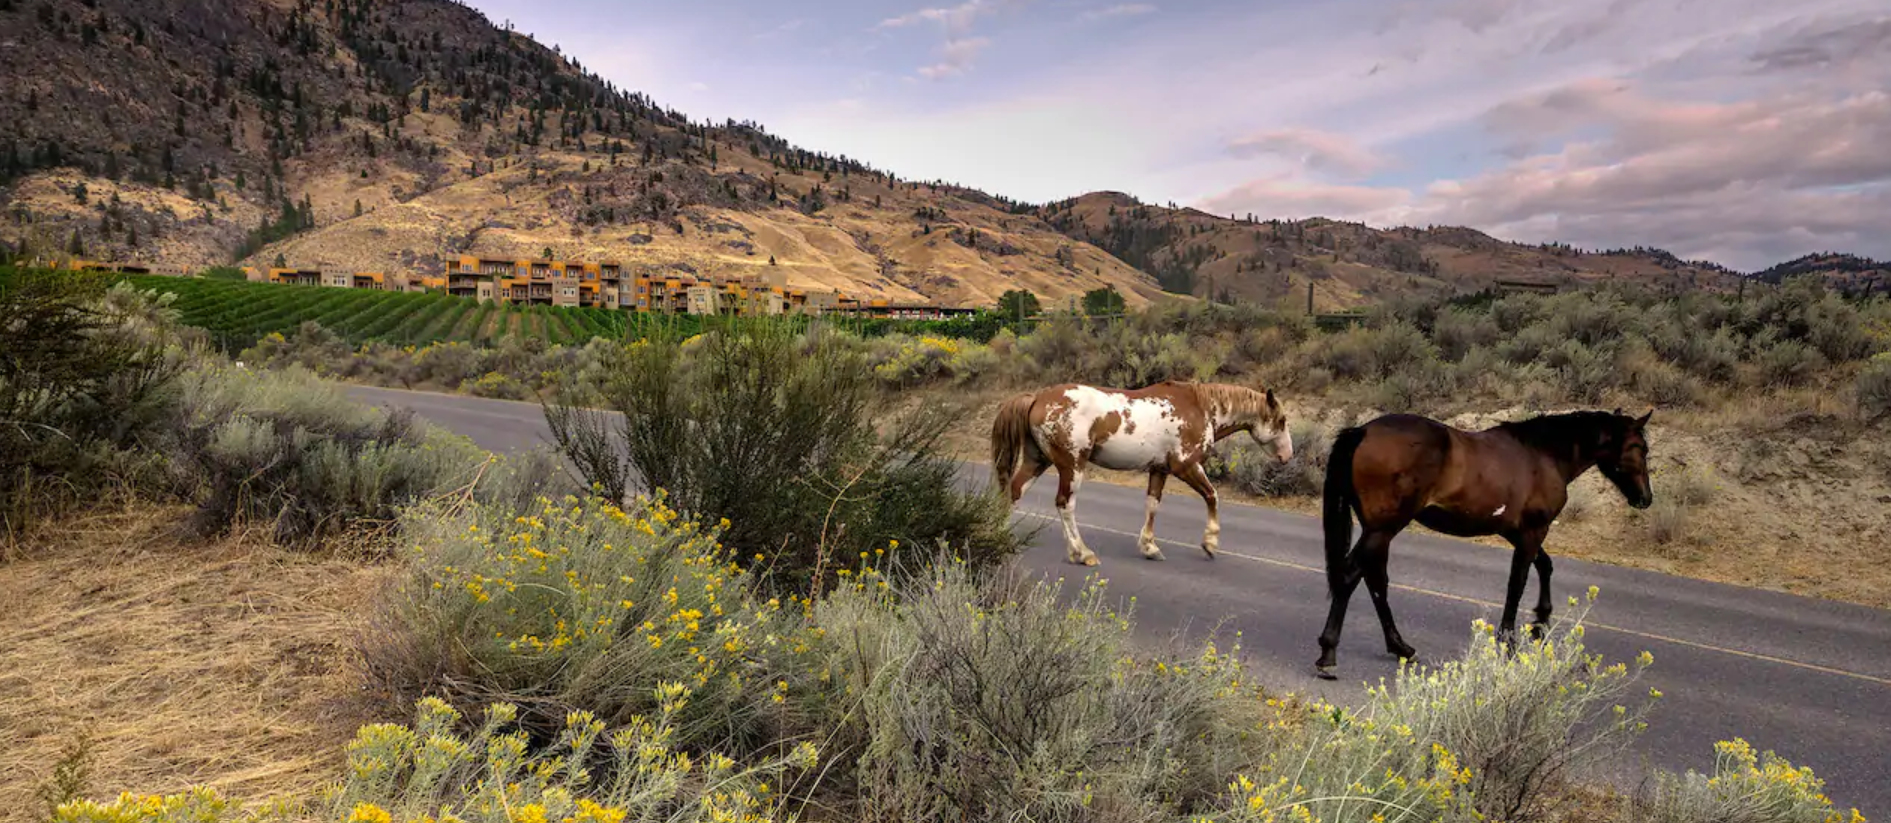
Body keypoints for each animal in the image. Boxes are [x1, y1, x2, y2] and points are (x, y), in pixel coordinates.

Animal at [983, 382, 1293, 567]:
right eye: (1281, 420)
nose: (1287, 456)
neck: (1201, 407)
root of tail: (1036, 398)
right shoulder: (1186, 466)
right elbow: (1212, 496)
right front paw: (1210, 542)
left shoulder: (1159, 469)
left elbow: (1152, 505)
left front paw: (1149, 547)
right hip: (1072, 466)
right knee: (1064, 504)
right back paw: (1082, 553)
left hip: (1038, 461)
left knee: (1013, 492)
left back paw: (1002, 537)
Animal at [1316, 408, 1656, 681]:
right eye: (1638, 447)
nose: (1645, 498)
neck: (1542, 455)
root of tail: (1362, 431)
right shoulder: (1533, 531)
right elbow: (1517, 583)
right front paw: (1511, 642)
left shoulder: (1516, 531)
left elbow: (1545, 566)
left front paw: (1540, 622)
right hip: (1383, 528)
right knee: (1350, 576)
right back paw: (1329, 655)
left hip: (1379, 530)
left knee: (1375, 581)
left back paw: (1401, 647)